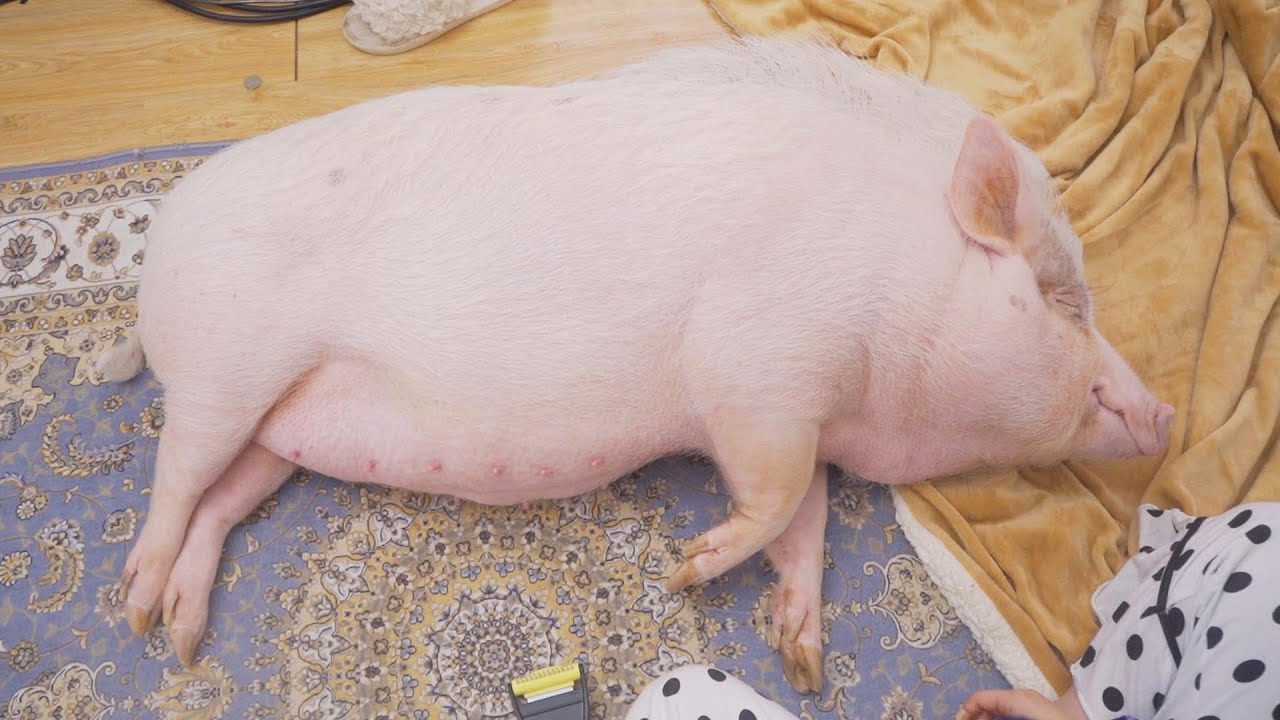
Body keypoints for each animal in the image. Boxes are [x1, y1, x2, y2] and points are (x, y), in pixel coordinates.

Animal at [95, 37, 1174, 694]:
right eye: (1062, 299)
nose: (1165, 415)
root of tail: (164, 237)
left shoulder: (805, 419)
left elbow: (809, 521)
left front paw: (800, 660)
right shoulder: (760, 373)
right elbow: (775, 498)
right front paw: (683, 573)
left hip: (280, 429)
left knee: (223, 502)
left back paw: (182, 634)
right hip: (223, 370)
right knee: (173, 480)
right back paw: (139, 612)